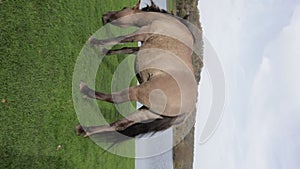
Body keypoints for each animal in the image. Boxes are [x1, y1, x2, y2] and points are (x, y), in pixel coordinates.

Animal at [75, 0, 197, 145]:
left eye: (124, 8)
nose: (105, 16)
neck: (166, 22)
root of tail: (186, 112)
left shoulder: (141, 32)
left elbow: (121, 39)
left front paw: (94, 41)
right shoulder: (139, 47)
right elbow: (124, 48)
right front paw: (103, 50)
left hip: (140, 92)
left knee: (116, 98)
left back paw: (85, 90)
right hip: (146, 112)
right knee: (118, 125)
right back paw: (83, 130)